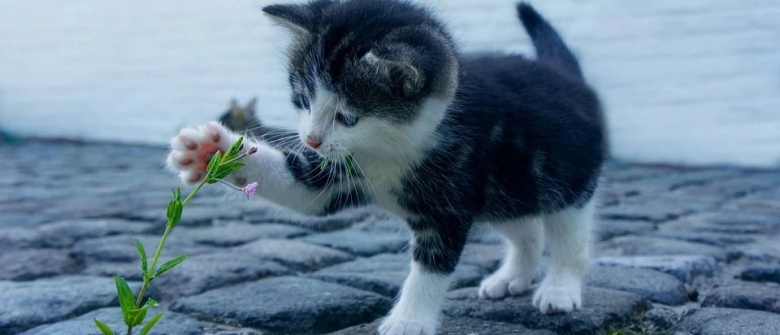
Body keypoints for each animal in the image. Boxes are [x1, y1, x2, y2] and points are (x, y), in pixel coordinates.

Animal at [168, 1, 608, 334]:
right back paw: (512, 277)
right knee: (526, 229)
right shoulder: (337, 172)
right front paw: (210, 150)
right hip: (507, 189)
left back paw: (559, 289)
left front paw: (409, 321)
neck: (390, 149)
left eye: (348, 117)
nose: (310, 139)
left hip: (567, 179)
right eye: (304, 100)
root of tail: (568, 77)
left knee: (569, 236)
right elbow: (303, 189)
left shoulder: (451, 197)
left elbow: (431, 267)